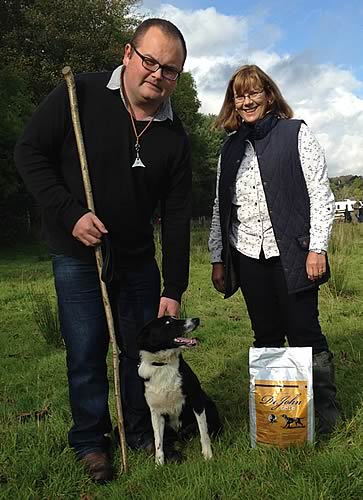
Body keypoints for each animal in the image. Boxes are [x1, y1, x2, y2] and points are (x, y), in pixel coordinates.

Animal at [136, 316, 222, 464]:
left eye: (174, 317)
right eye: (168, 323)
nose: (196, 319)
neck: (164, 364)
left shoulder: (196, 400)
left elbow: (203, 432)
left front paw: (208, 455)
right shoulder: (155, 412)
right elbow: (158, 440)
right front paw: (159, 464)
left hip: (208, 404)